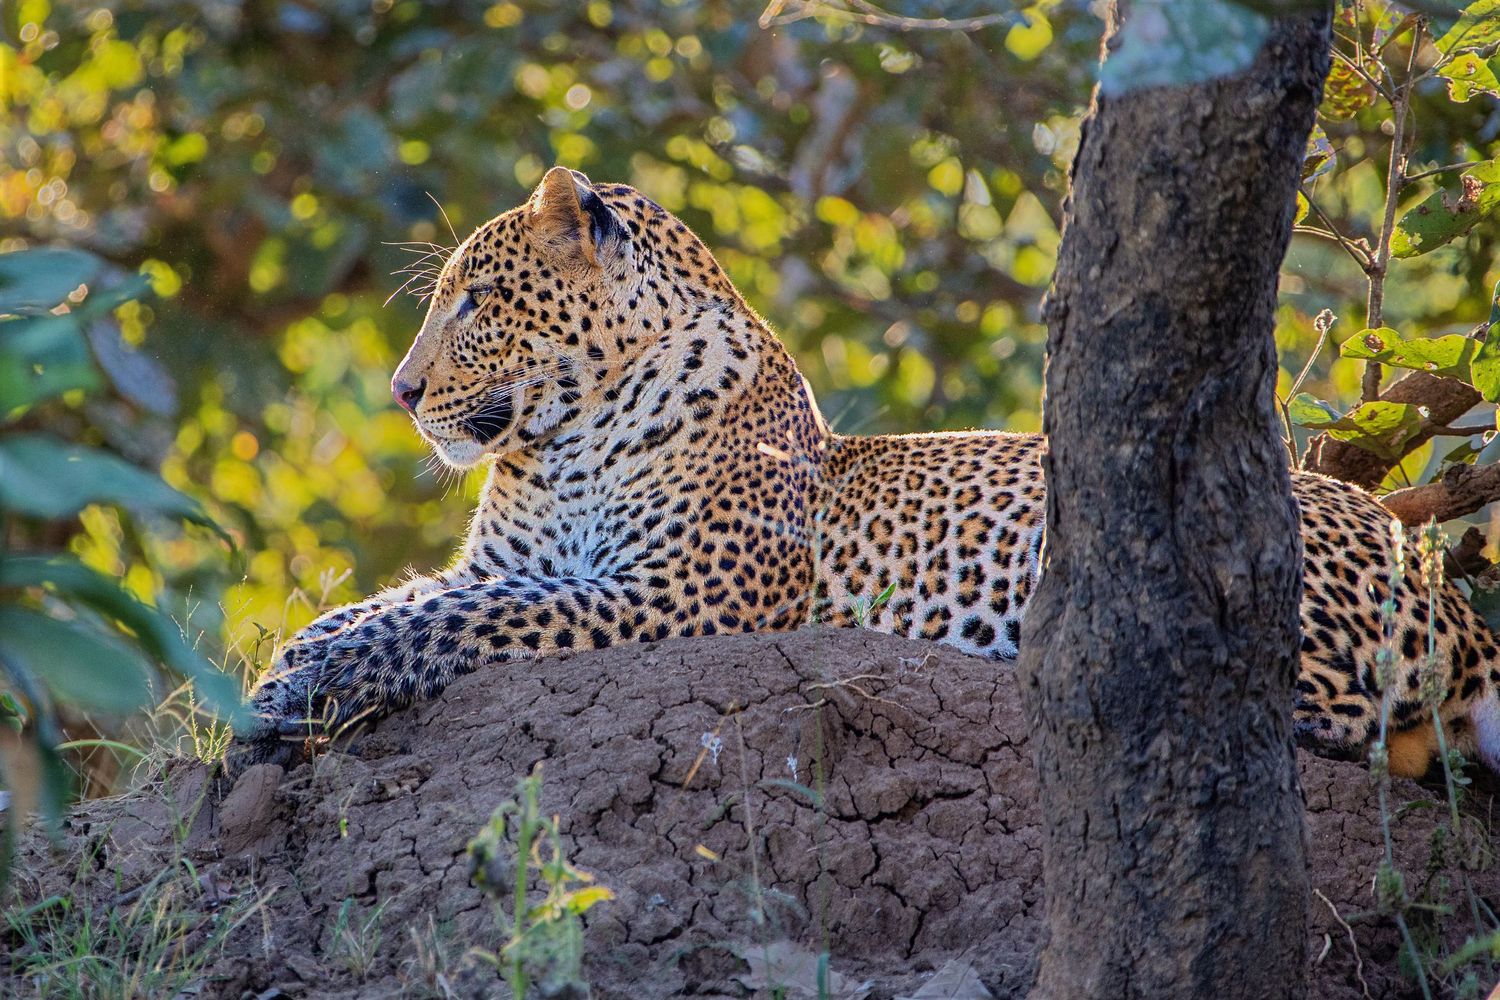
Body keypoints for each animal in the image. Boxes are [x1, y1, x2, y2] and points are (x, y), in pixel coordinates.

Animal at [234, 165, 1500, 780]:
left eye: (479, 301)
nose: (400, 392)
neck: (554, 445)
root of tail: (1443, 580)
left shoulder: (675, 597)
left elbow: (461, 626)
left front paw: (310, 690)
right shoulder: (511, 562)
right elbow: (398, 602)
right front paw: (288, 669)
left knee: (1357, 727)